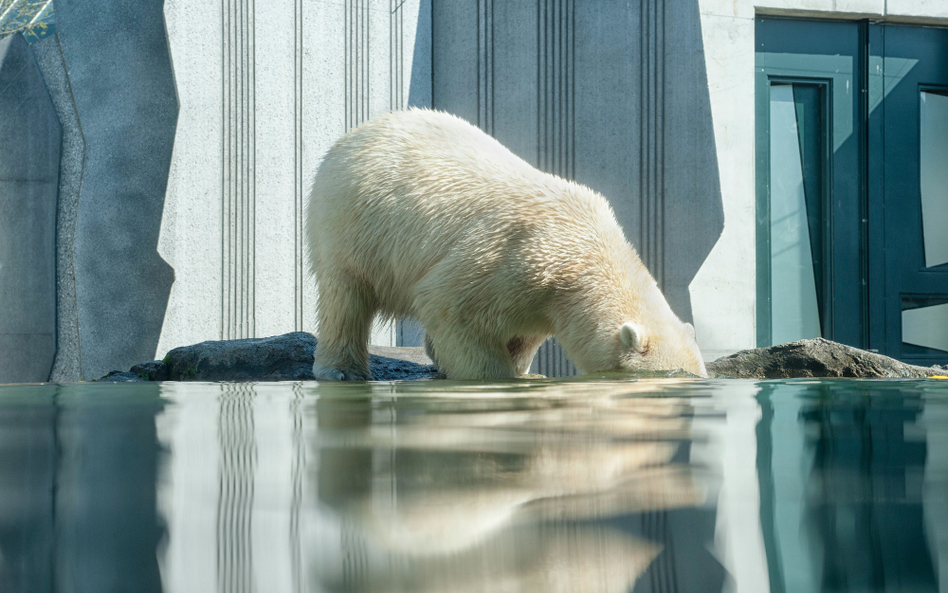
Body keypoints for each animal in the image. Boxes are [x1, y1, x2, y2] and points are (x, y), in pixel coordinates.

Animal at [308, 108, 708, 376]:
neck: (585, 253)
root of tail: (358, 131)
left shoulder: (542, 298)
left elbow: (523, 334)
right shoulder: (514, 257)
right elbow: (449, 305)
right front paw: (495, 377)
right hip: (353, 224)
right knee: (345, 296)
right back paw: (343, 369)